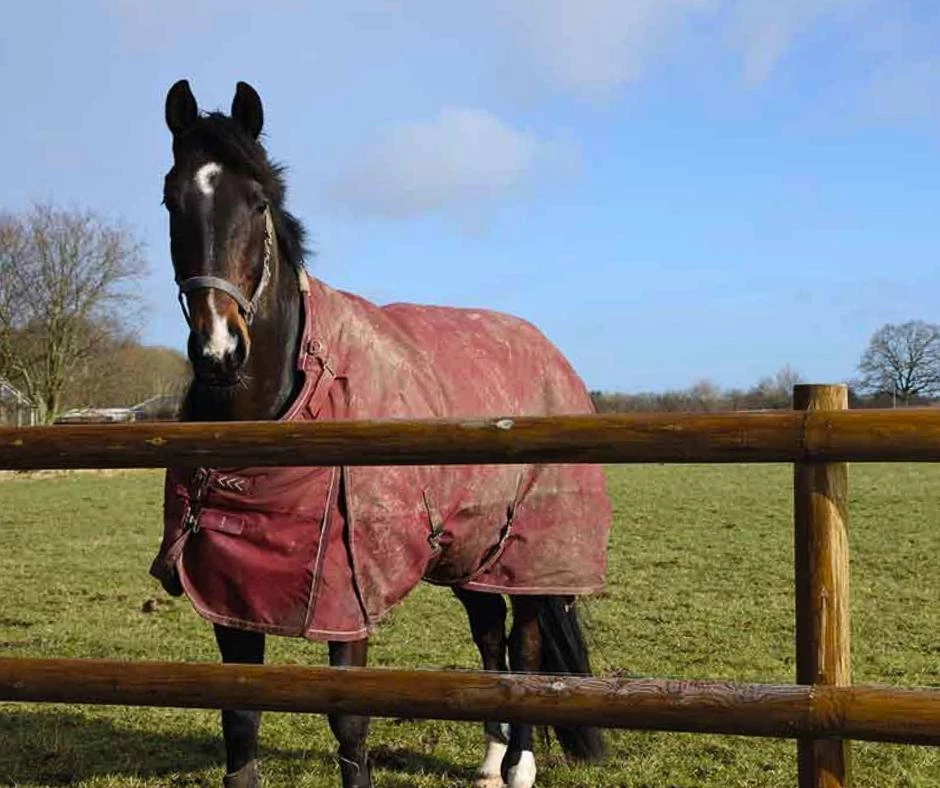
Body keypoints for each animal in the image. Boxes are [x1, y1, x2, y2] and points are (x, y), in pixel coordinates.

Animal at [151, 80, 612, 788]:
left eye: (257, 201)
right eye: (171, 198)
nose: (220, 350)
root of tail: (552, 355)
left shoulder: (347, 602)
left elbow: (349, 721)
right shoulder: (230, 600)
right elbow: (240, 720)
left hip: (529, 558)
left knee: (527, 647)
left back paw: (520, 765)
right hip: (470, 554)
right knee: (491, 638)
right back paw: (490, 761)